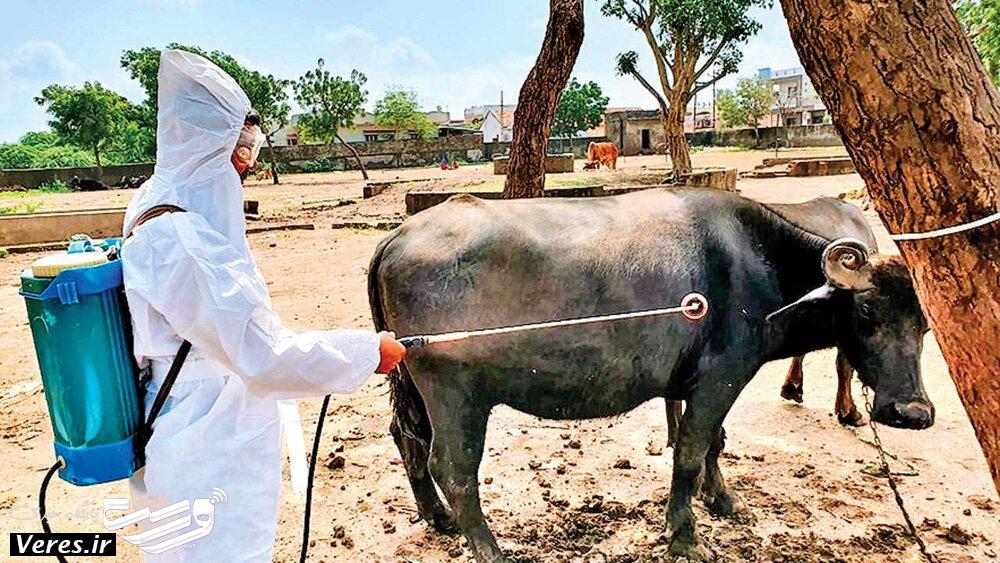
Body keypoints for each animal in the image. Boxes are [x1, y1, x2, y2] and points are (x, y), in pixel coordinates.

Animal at [369, 189, 933, 562]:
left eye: (925, 322)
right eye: (866, 311)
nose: (913, 412)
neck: (759, 267)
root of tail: (397, 237)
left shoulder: (702, 385)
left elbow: (714, 444)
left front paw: (722, 500)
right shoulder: (719, 381)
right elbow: (689, 452)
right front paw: (684, 534)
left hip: (412, 384)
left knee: (407, 439)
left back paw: (439, 518)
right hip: (456, 393)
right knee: (453, 467)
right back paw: (489, 549)